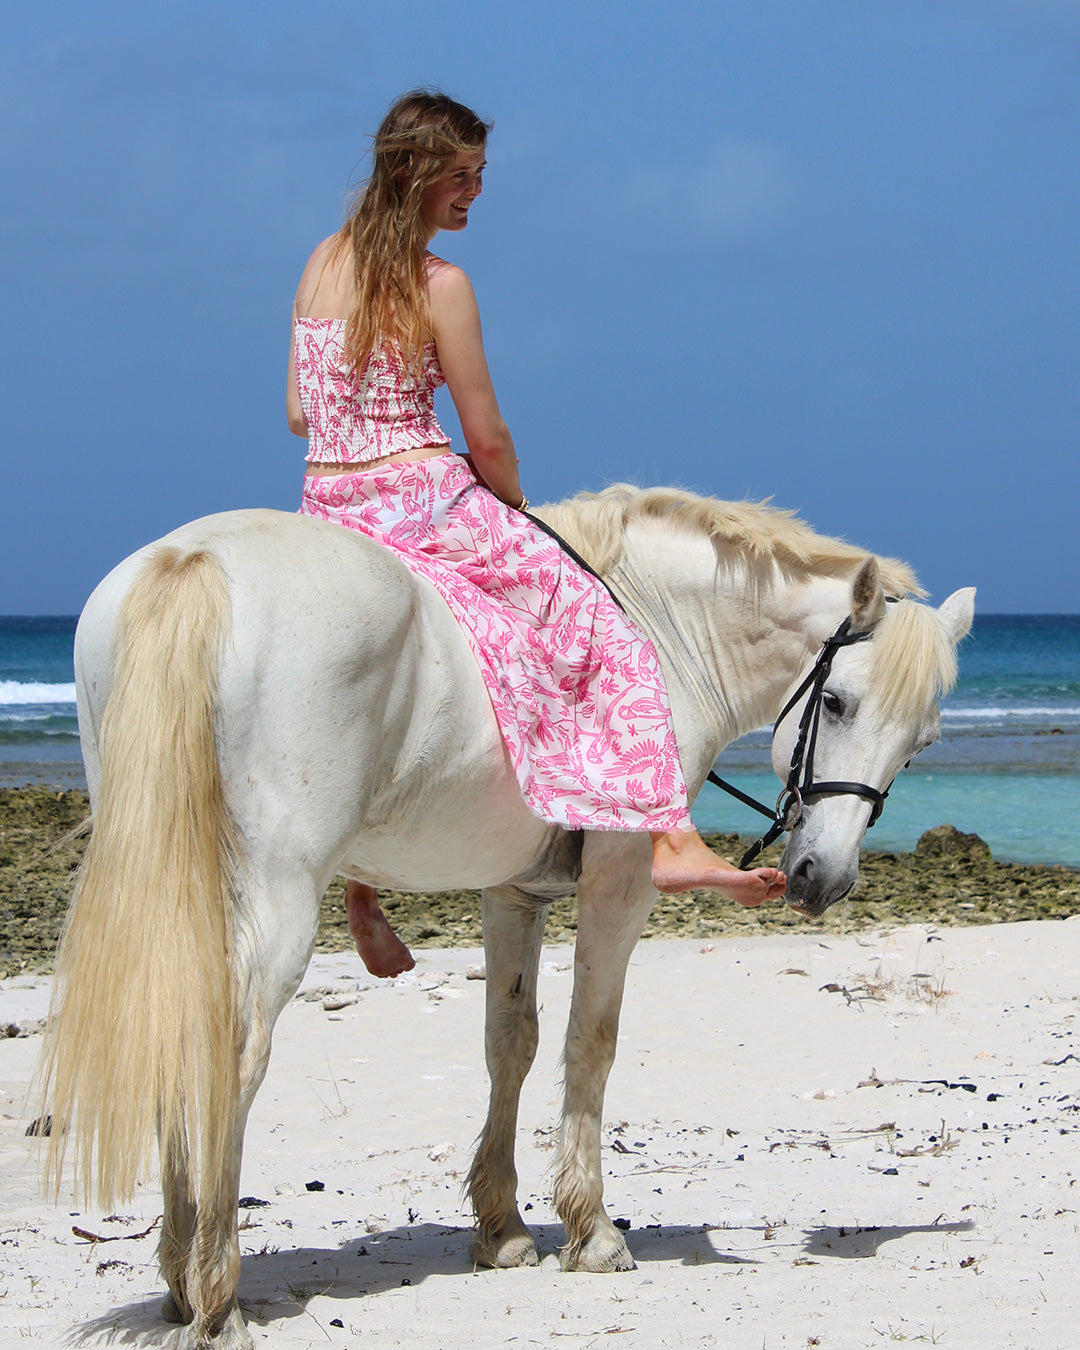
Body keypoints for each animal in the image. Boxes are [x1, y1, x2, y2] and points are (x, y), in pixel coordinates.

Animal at [38, 485, 973, 1349]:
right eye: (839, 703)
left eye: (922, 742)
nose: (823, 879)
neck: (662, 623)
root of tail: (193, 560)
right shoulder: (618, 887)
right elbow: (589, 1043)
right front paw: (592, 1232)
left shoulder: (511, 894)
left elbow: (510, 1044)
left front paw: (503, 1229)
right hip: (274, 897)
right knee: (232, 1058)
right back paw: (216, 1294)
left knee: (177, 1028)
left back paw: (176, 1277)